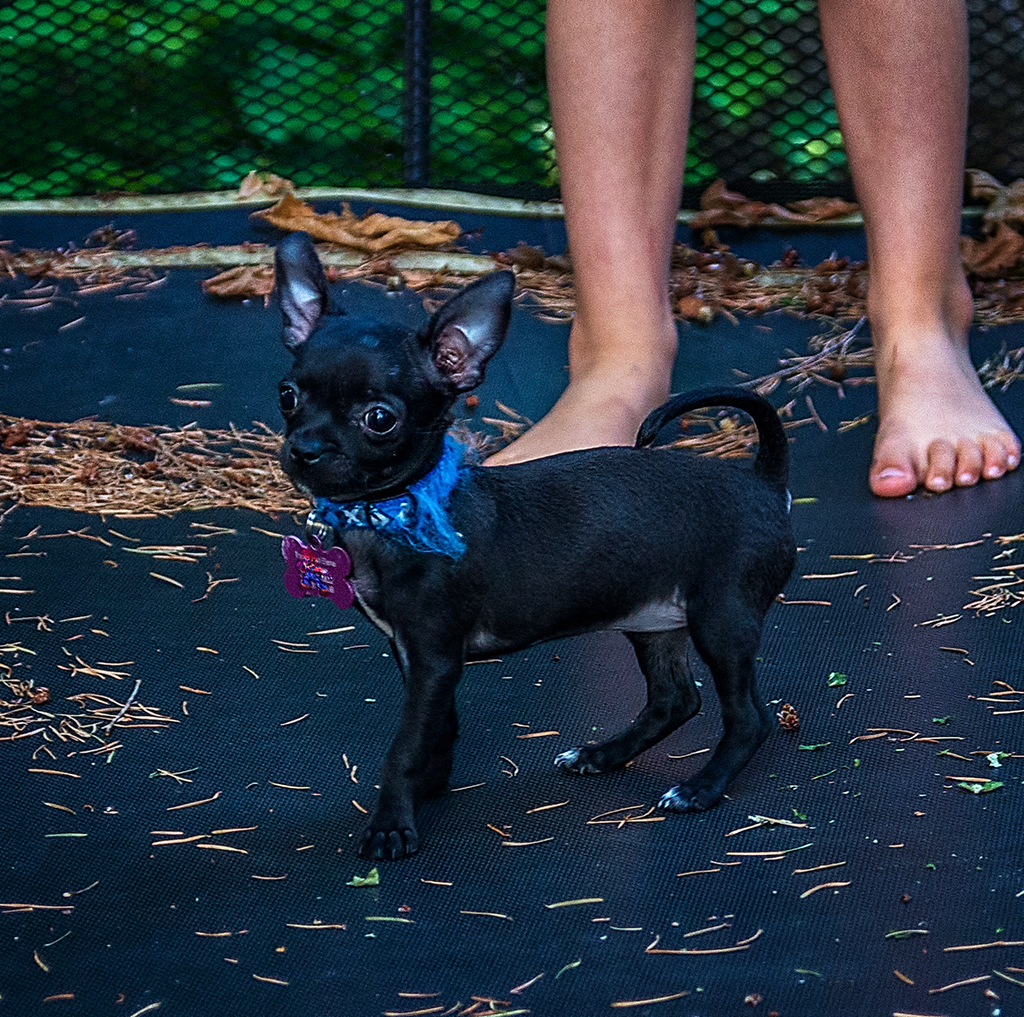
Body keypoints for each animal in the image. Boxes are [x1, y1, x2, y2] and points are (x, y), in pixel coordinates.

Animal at [274, 232, 798, 856]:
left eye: (379, 419)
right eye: (287, 395)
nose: (304, 449)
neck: (397, 510)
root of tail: (763, 480)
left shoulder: (432, 657)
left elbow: (403, 745)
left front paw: (391, 823)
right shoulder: (419, 659)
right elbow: (438, 727)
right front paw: (431, 786)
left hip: (721, 620)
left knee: (747, 718)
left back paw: (700, 789)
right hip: (651, 618)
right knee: (676, 698)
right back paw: (603, 755)